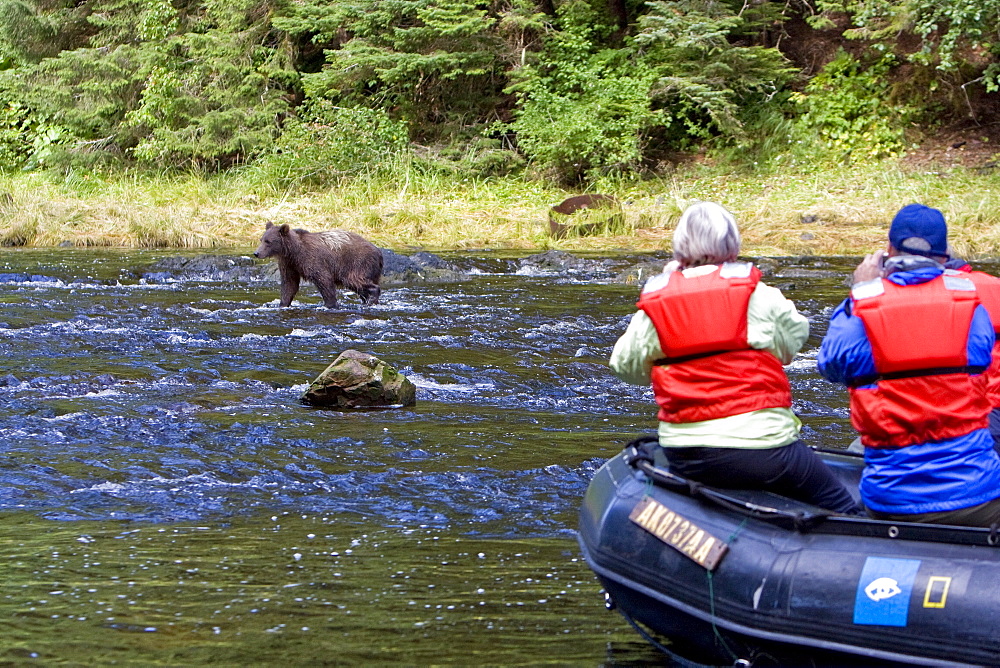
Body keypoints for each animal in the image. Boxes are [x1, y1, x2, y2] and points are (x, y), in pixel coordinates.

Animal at [254, 223, 382, 310]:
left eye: (268, 241)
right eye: (261, 239)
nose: (256, 253)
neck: (293, 252)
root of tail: (378, 252)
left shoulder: (313, 259)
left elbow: (324, 280)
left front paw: (330, 304)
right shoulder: (289, 264)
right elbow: (289, 284)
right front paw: (283, 304)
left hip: (357, 263)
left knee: (354, 280)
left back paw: (371, 298)